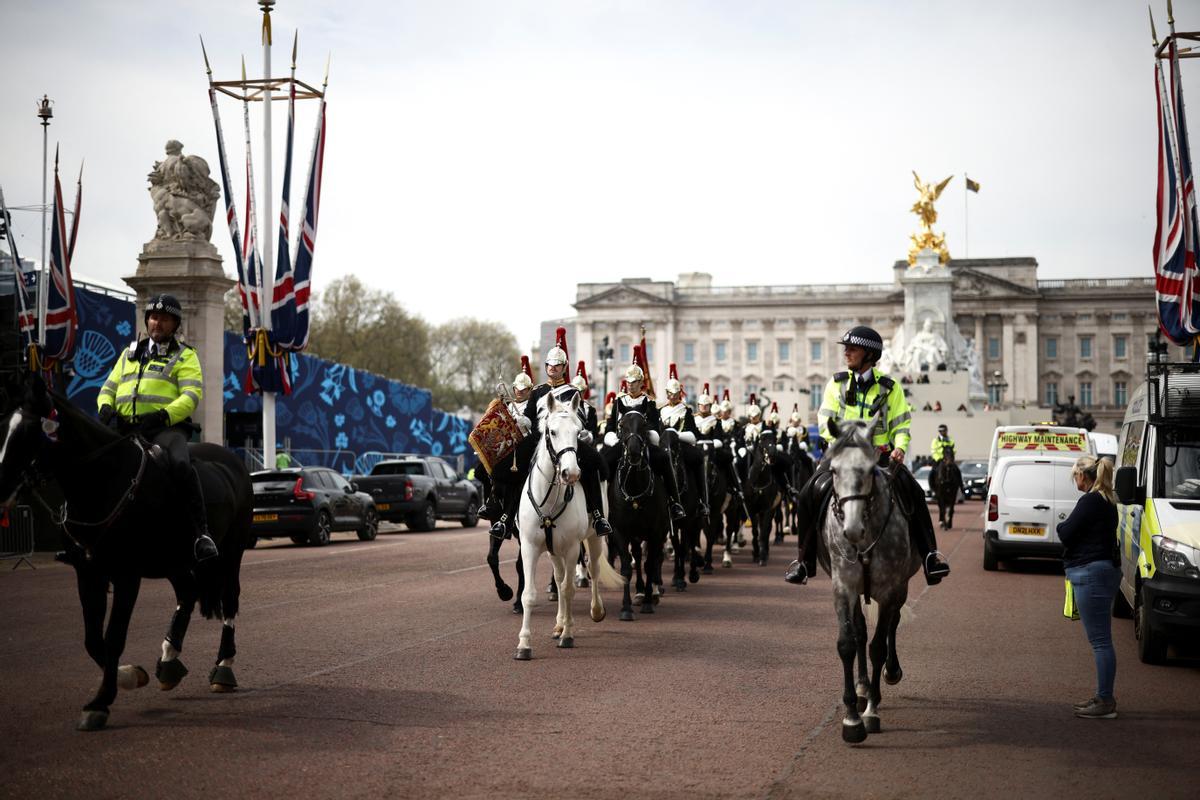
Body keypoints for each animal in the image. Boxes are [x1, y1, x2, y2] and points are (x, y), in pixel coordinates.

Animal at [0, 376, 253, 734]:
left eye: (31, 430)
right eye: (4, 426)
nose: (1, 489)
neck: (105, 482)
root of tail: (231, 459)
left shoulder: (126, 575)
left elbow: (114, 637)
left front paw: (100, 703)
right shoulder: (88, 572)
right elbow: (94, 640)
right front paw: (129, 676)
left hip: (231, 552)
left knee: (229, 601)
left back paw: (223, 668)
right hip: (174, 561)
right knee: (187, 594)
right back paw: (169, 661)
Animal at [516, 391, 628, 662]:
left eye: (578, 432)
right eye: (552, 431)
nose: (572, 473)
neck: (549, 499)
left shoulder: (571, 548)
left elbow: (568, 589)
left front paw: (568, 635)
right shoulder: (530, 547)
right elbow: (530, 594)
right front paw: (524, 644)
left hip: (594, 539)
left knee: (593, 571)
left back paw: (593, 612)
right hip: (553, 550)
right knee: (558, 579)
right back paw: (558, 623)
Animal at [604, 412, 672, 618]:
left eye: (644, 425)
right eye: (621, 425)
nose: (634, 451)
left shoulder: (655, 533)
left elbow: (650, 564)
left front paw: (649, 602)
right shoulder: (620, 531)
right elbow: (627, 567)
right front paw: (626, 608)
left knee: (652, 558)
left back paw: (650, 593)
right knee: (637, 555)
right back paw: (640, 592)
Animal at [825, 412, 916, 743]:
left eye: (868, 469)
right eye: (833, 470)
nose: (851, 530)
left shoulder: (890, 590)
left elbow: (878, 645)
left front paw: (871, 712)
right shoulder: (843, 588)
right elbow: (848, 643)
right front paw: (852, 716)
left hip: (901, 587)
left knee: (891, 625)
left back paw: (890, 672)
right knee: (862, 631)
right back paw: (864, 686)